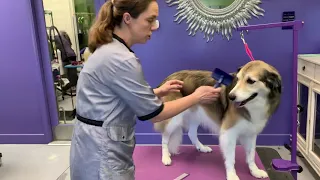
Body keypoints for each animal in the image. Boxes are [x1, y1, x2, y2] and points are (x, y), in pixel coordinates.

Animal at [154, 60, 282, 180]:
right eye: (238, 79)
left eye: (250, 81)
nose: (230, 97)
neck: (253, 105)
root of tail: (168, 78)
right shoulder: (229, 133)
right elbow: (231, 158)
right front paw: (232, 175)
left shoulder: (250, 133)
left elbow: (251, 155)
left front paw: (254, 171)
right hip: (173, 118)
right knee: (165, 137)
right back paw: (165, 157)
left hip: (196, 114)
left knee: (191, 133)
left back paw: (201, 147)